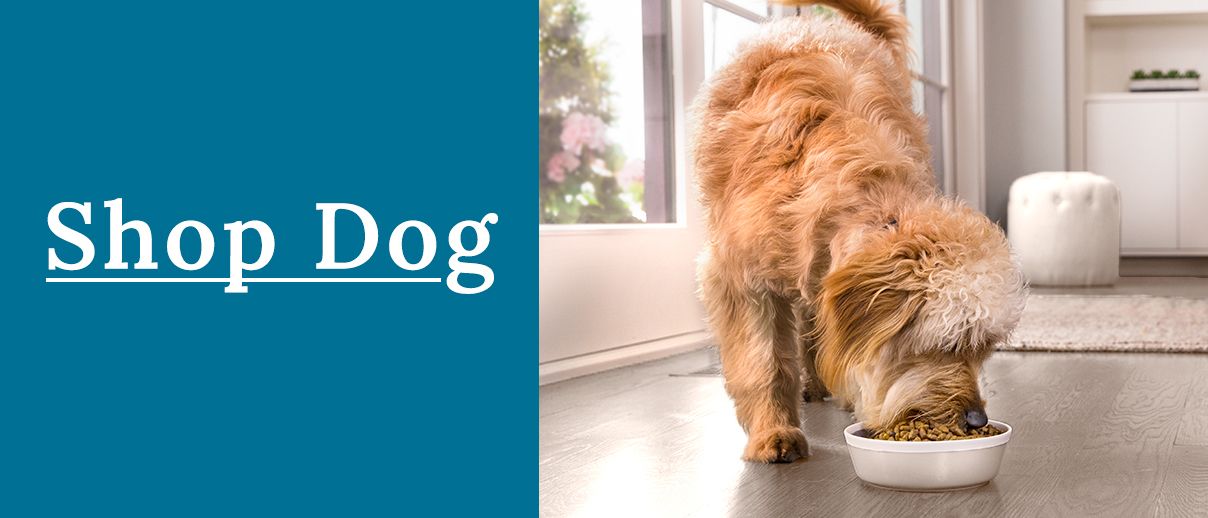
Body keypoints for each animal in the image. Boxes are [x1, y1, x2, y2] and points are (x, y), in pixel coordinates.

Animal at [695, 0, 1024, 461]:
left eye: (985, 349)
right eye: (949, 345)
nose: (976, 420)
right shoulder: (741, 279)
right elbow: (764, 362)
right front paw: (773, 431)